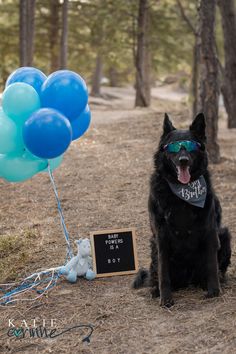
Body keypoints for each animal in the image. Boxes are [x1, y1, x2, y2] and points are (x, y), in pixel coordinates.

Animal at [134, 113, 231, 306]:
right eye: (174, 147)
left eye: (191, 146)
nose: (183, 160)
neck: (183, 193)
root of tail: (188, 280)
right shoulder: (161, 236)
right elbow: (163, 271)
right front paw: (166, 298)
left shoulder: (210, 231)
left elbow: (212, 265)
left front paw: (214, 291)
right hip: (153, 246)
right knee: (157, 274)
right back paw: (156, 290)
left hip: (224, 234)